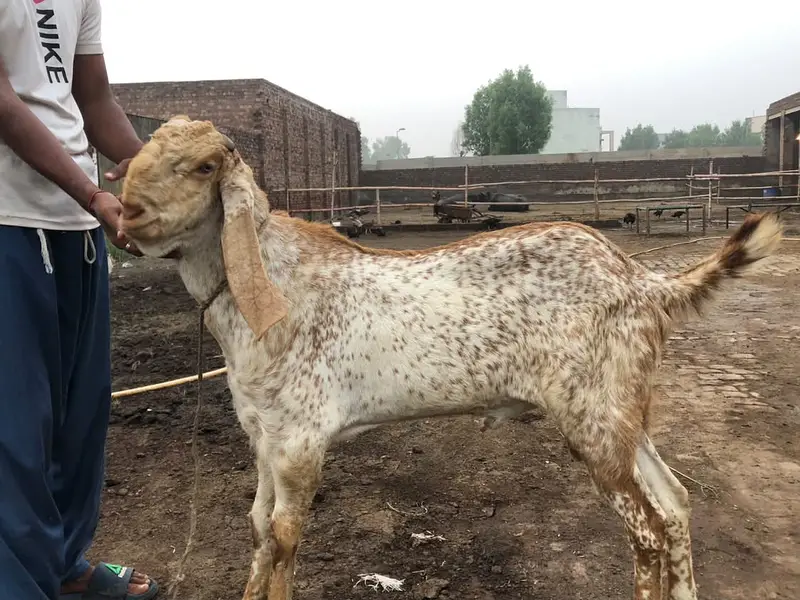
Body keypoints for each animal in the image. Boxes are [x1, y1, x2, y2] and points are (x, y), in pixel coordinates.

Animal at [118, 116, 783, 600]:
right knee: (675, 505)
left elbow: (283, 538)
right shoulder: (263, 434)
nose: (127, 212)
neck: (275, 285)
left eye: (204, 166)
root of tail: (642, 283)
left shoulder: (301, 440)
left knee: (645, 532)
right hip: (620, 412)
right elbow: (258, 528)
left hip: (592, 417)